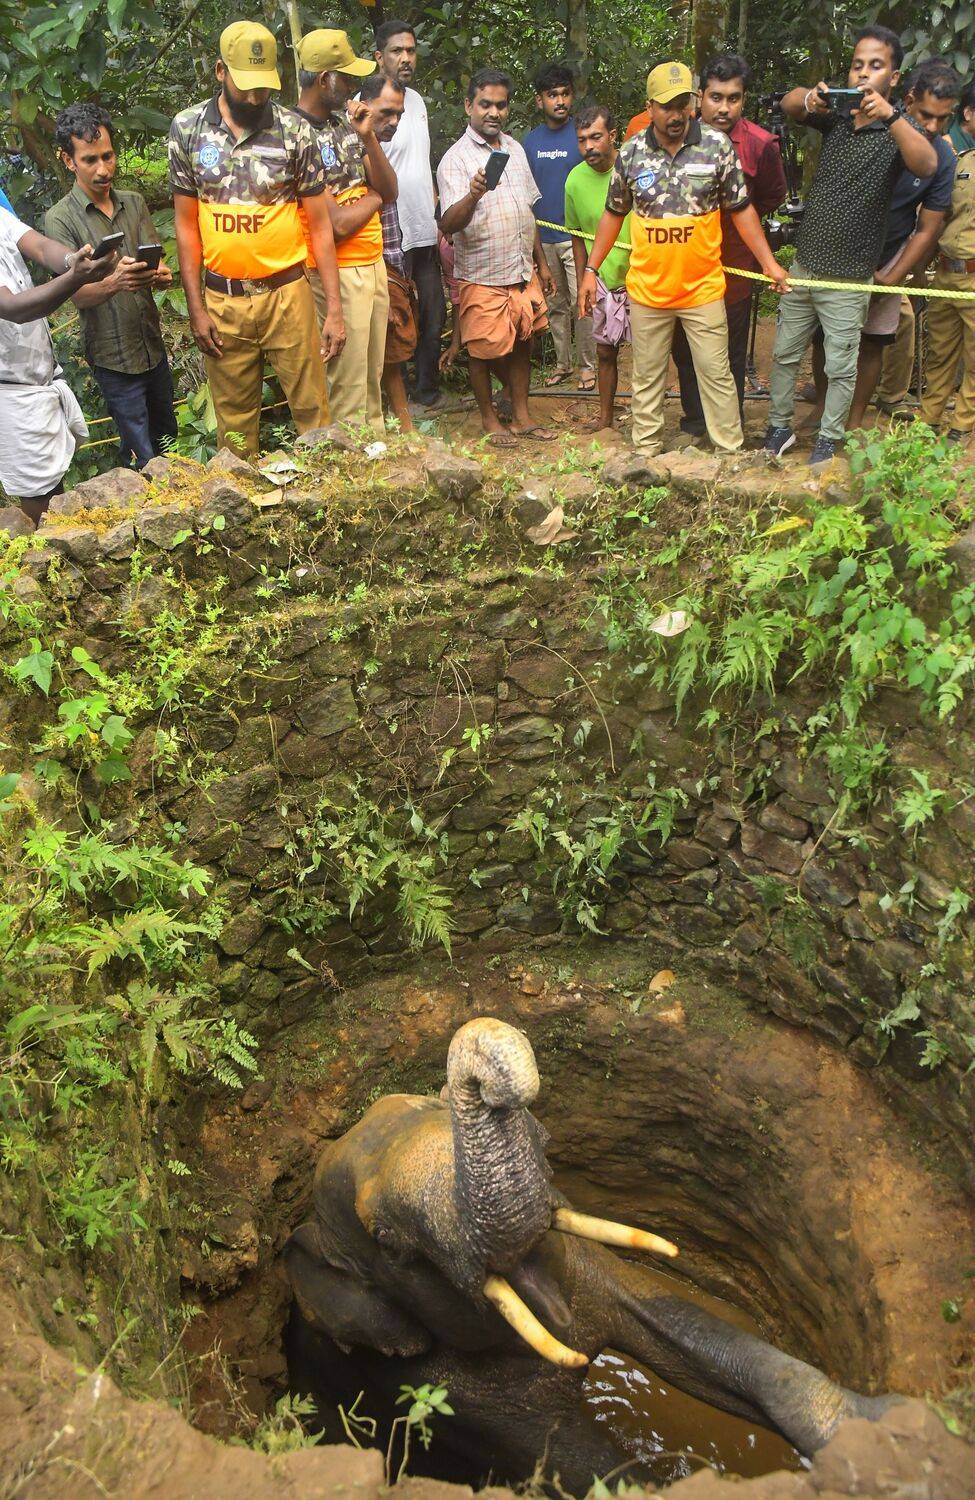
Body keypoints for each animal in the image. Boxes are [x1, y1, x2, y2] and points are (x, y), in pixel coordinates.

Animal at [284, 1017, 898, 1493]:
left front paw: (880, 1423)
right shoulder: (452, 1396)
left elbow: (679, 1324)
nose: (490, 1083)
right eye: (386, 1238)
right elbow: (585, 1467)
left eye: (430, 1104)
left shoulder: (589, 1268)